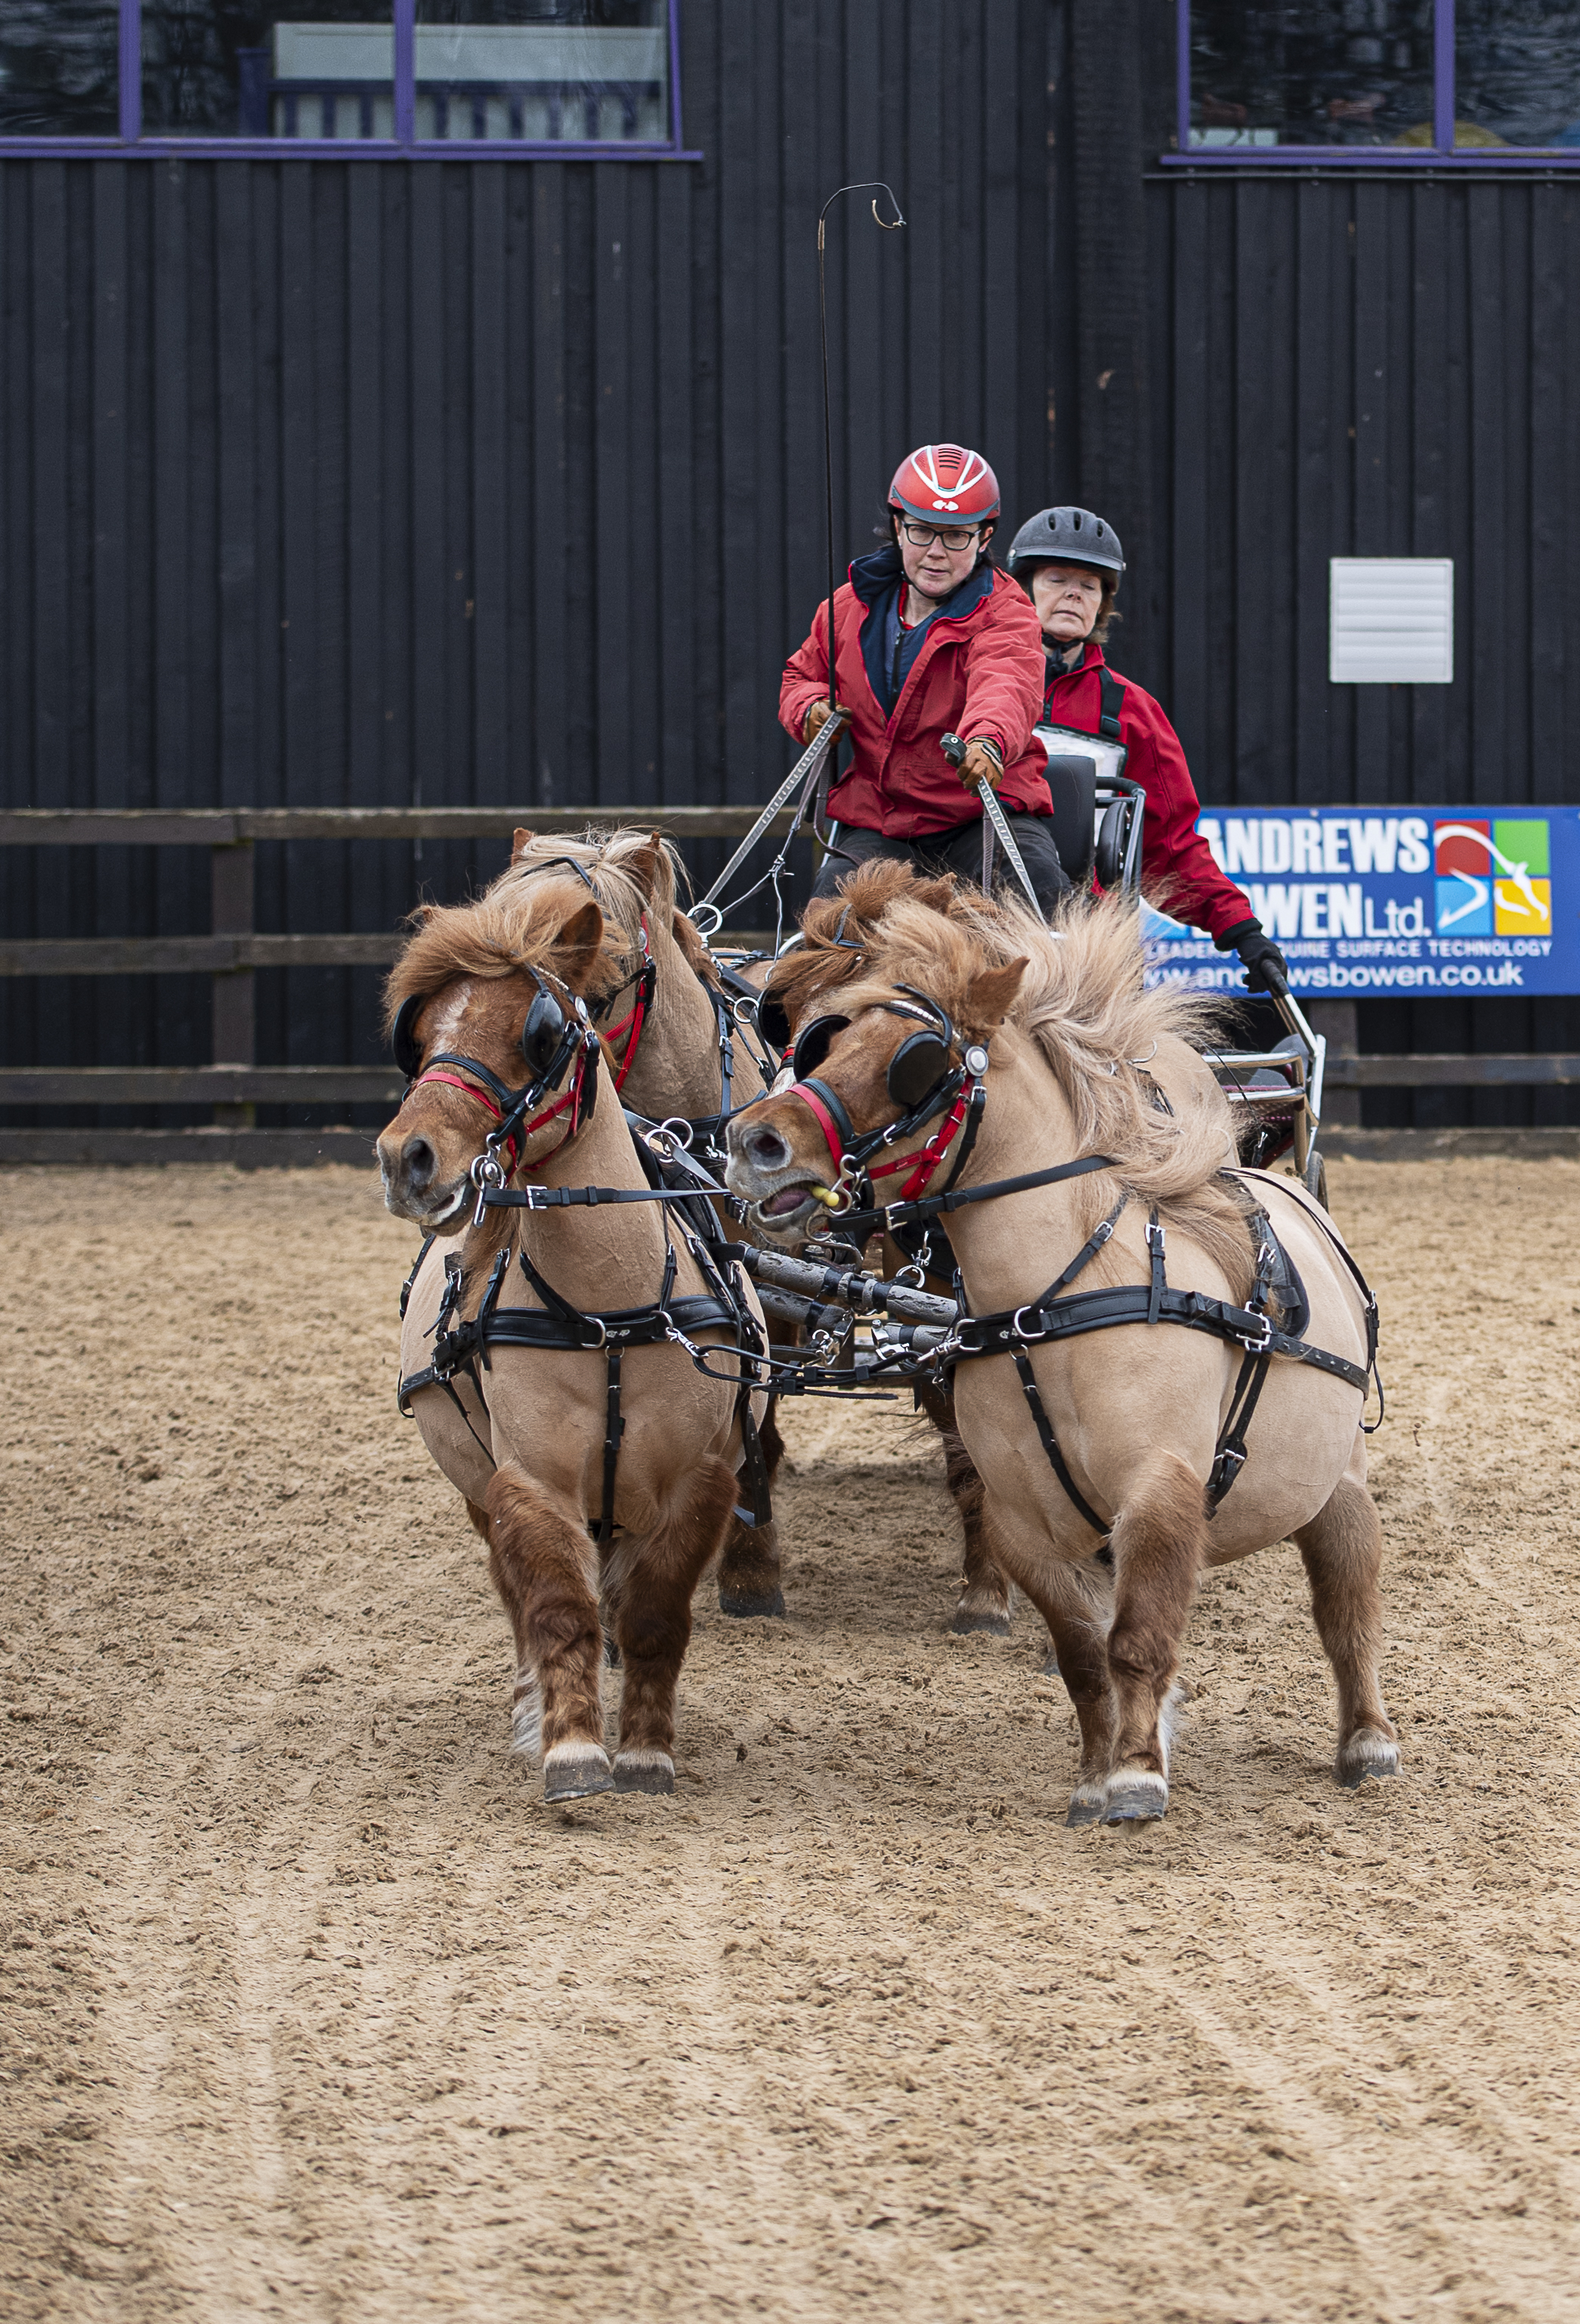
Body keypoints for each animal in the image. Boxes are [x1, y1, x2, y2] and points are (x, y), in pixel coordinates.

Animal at [376, 870, 774, 1805]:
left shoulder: (699, 1481)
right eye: (422, 1032)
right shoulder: (533, 1483)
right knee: (519, 1594)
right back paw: (532, 1714)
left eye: (542, 1032)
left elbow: (657, 1613)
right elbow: (557, 1607)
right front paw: (571, 1747)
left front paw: (647, 1752)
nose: (406, 1158)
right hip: (479, 1482)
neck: (610, 1306)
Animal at [752, 861, 1241, 1640]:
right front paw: (988, 1589)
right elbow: (970, 1455)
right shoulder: (936, 1325)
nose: (760, 1140)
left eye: (913, 1056)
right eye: (797, 1026)